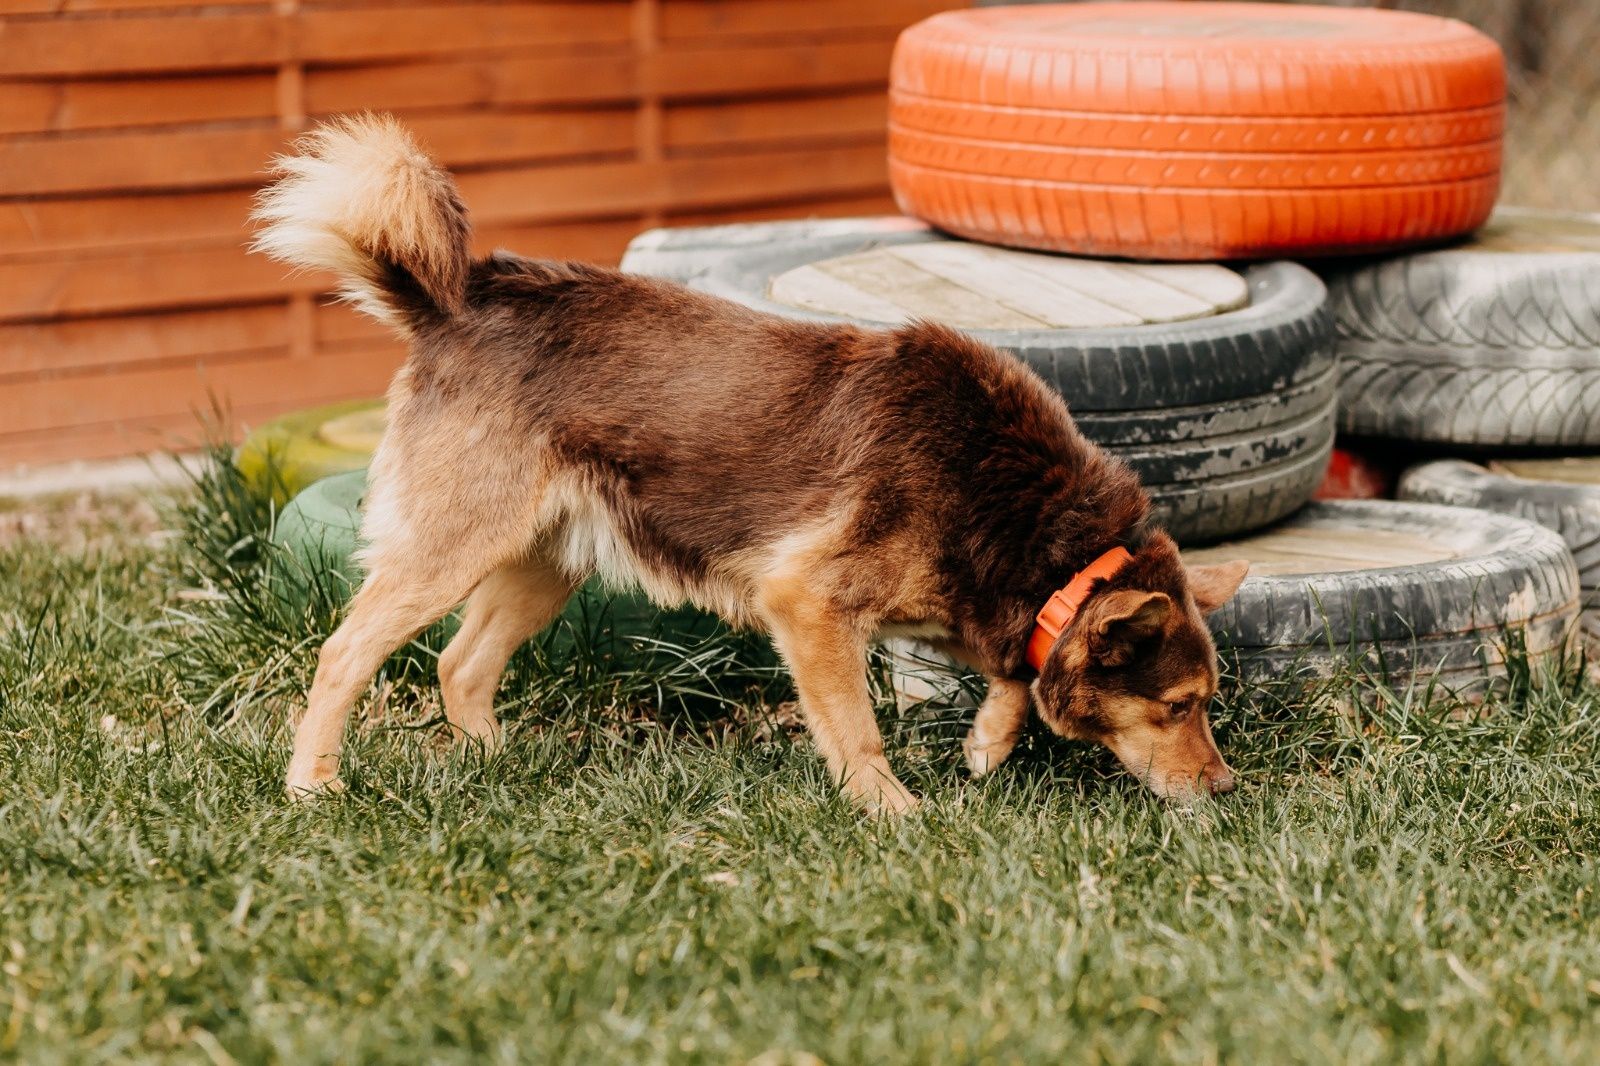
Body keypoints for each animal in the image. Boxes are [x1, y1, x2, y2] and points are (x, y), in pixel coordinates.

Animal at [252, 116, 1248, 809]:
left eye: (1203, 702)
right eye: (1178, 706)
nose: (1227, 788)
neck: (1023, 514)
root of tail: (454, 301)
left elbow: (1012, 671)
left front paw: (988, 742)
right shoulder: (809, 605)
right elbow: (858, 730)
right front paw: (894, 812)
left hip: (548, 560)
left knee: (462, 665)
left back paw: (499, 765)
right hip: (450, 548)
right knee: (344, 654)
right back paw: (313, 783)